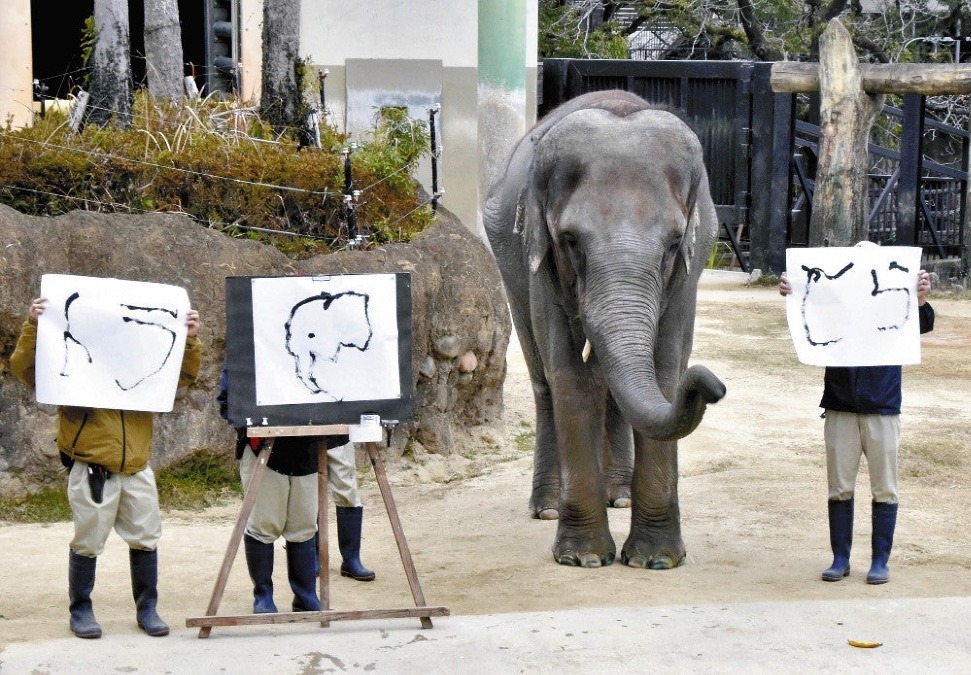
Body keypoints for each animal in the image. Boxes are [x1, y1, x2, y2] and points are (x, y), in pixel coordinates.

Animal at [482, 90, 724, 572]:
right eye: (571, 241)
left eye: (674, 243)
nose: (714, 385)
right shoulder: (539, 255)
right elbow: (570, 374)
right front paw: (584, 558)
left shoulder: (691, 264)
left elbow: (665, 369)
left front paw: (656, 561)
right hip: (507, 260)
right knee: (544, 379)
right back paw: (548, 508)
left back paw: (622, 497)